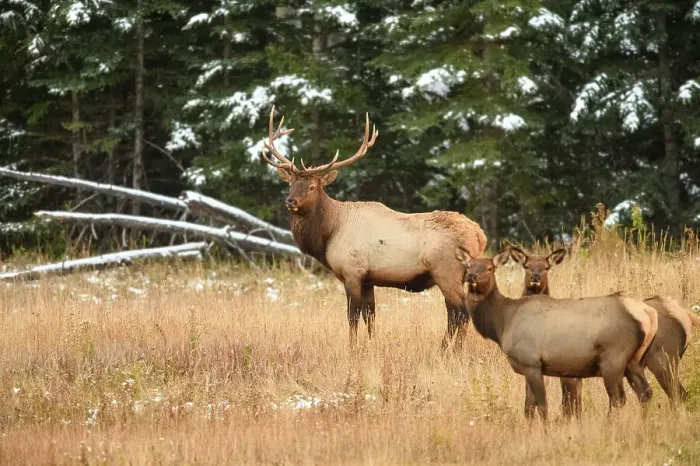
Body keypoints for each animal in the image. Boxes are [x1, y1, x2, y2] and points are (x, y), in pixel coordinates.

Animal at [259, 107, 487, 350]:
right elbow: (370, 316)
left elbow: (352, 317)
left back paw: (452, 350)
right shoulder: (368, 279)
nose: (290, 201)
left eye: (312, 186)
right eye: (290, 184)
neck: (328, 233)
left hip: (446, 270)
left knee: (461, 312)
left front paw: (352, 348)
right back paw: (447, 348)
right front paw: (371, 345)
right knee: (456, 313)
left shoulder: (352, 272)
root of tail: (479, 235)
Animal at [462, 249, 659, 420]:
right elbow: (528, 408)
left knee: (618, 398)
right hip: (635, 361)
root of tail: (648, 313)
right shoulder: (527, 367)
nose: (470, 277)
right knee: (645, 393)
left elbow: (542, 406)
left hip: (614, 358)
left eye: (490, 268)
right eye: (468, 265)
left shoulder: (531, 362)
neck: (503, 323)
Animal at [509, 246, 700, 413]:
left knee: (677, 394)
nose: (535, 277)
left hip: (663, 358)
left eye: (546, 267)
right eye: (526, 265)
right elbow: (529, 406)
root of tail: (687, 314)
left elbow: (569, 406)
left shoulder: (567, 370)